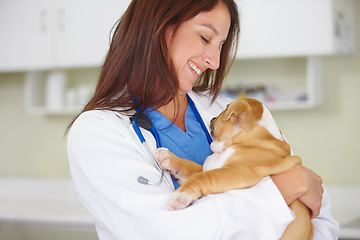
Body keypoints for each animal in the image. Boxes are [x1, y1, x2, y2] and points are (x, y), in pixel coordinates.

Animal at [156, 97, 314, 240]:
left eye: (226, 108)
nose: (213, 118)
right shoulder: (209, 166)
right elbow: (191, 167)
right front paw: (170, 158)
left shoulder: (236, 173)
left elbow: (201, 177)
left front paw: (180, 196)